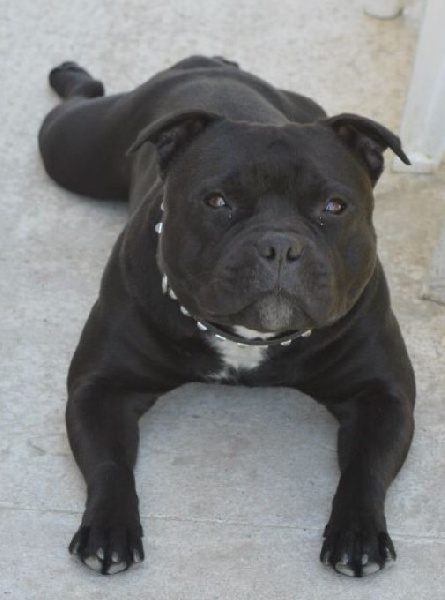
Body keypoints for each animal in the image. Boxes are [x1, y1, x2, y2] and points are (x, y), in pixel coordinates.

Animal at [38, 56, 415, 577]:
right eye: (217, 201)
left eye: (335, 207)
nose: (280, 245)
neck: (248, 340)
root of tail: (209, 63)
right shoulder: (101, 388)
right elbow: (109, 463)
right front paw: (109, 527)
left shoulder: (383, 394)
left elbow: (366, 466)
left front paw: (357, 531)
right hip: (74, 148)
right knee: (78, 102)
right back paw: (70, 74)